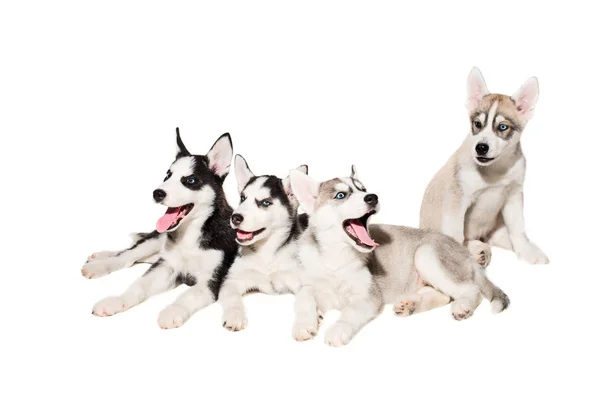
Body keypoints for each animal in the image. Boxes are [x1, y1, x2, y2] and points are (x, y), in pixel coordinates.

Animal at [80, 130, 239, 330]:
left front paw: (172, 311)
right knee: (127, 255)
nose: (157, 193)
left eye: (191, 180)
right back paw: (100, 262)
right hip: (156, 239)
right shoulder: (167, 265)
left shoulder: (211, 282)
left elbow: (187, 295)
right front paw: (118, 301)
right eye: (167, 175)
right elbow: (138, 285)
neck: (192, 232)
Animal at [217, 155, 310, 332]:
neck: (267, 252)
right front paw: (234, 316)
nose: (235, 217)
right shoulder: (231, 280)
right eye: (242, 198)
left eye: (265, 203)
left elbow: (306, 300)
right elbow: (232, 298)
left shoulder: (302, 281)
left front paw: (305, 324)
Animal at [288, 167, 508, 346]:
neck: (336, 255)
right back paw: (411, 305)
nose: (372, 197)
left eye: (363, 189)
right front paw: (305, 323)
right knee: (445, 295)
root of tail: (462, 249)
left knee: (470, 290)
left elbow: (350, 312)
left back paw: (462, 306)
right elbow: (304, 296)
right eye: (341, 195)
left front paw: (337, 329)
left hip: (426, 254)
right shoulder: (315, 284)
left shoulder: (369, 296)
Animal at [420, 67, 552, 268]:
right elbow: (456, 234)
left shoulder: (513, 195)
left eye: (502, 127)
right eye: (477, 124)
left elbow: (518, 229)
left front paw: (526, 252)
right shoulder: (458, 199)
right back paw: (477, 250)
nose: (481, 147)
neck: (495, 169)